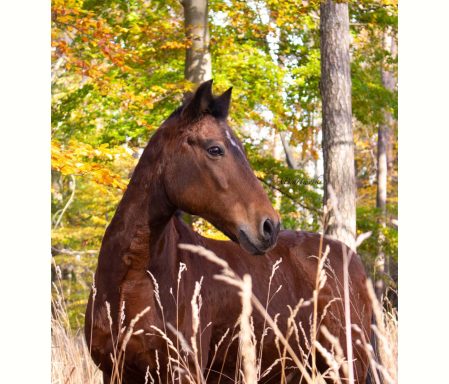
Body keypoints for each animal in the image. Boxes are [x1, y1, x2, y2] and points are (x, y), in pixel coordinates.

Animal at [85, 79, 372, 382]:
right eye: (215, 149)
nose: (269, 226)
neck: (131, 280)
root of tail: (352, 259)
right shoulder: (114, 371)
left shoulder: (183, 371)